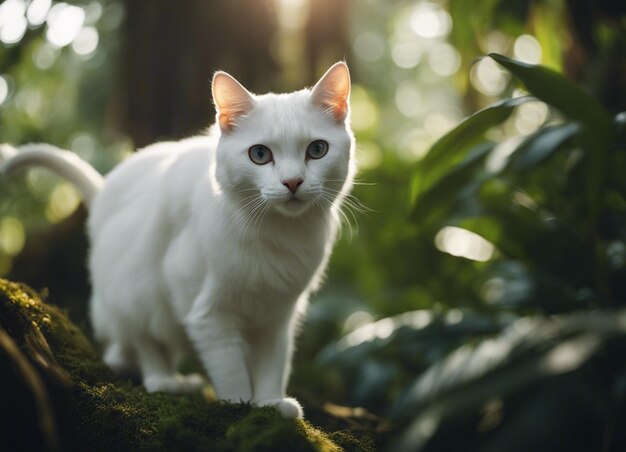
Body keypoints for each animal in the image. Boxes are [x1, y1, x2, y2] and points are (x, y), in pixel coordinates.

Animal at [0, 61, 352, 418]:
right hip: (140, 292)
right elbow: (230, 368)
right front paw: (239, 406)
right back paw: (166, 381)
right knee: (142, 345)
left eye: (317, 150)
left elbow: (273, 364)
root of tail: (103, 195)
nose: (292, 182)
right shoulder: (207, 314)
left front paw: (269, 404)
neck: (279, 234)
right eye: (260, 154)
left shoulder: (277, 316)